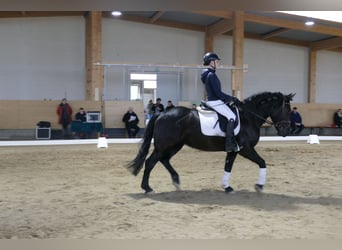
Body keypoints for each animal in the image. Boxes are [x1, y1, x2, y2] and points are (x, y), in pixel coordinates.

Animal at [127, 92, 292, 193]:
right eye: (287, 110)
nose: (286, 131)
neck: (248, 117)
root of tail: (162, 113)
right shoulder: (246, 149)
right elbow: (262, 162)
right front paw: (259, 185)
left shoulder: (235, 150)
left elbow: (228, 167)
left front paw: (227, 187)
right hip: (164, 146)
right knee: (150, 162)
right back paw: (147, 188)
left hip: (175, 145)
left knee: (164, 160)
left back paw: (176, 181)